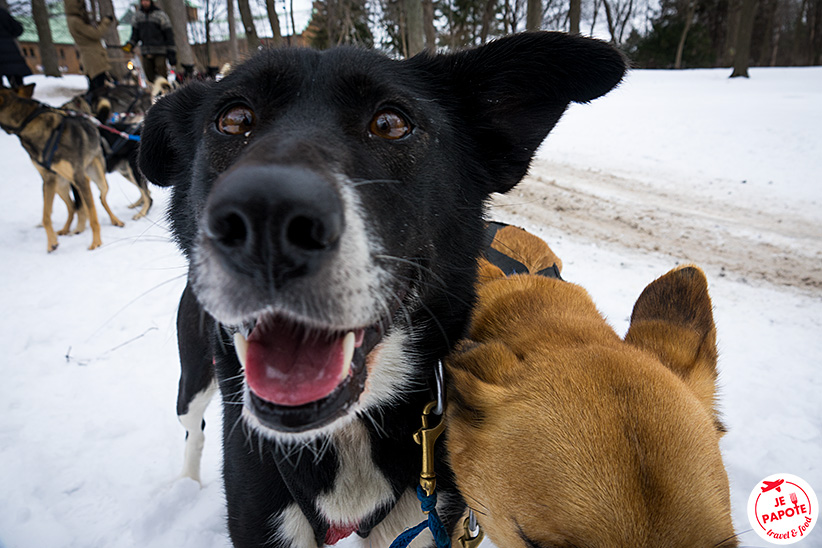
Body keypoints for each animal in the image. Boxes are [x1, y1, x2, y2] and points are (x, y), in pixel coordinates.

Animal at [0, 86, 124, 252]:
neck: (28, 121)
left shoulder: (80, 178)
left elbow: (93, 216)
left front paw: (96, 242)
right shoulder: (48, 180)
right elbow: (46, 216)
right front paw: (51, 242)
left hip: (97, 178)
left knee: (101, 199)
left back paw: (115, 220)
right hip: (60, 185)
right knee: (73, 207)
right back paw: (66, 229)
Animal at [142, 32, 628, 544]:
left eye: (391, 123)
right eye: (234, 119)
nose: (267, 215)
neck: (346, 433)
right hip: (194, 378)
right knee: (193, 430)